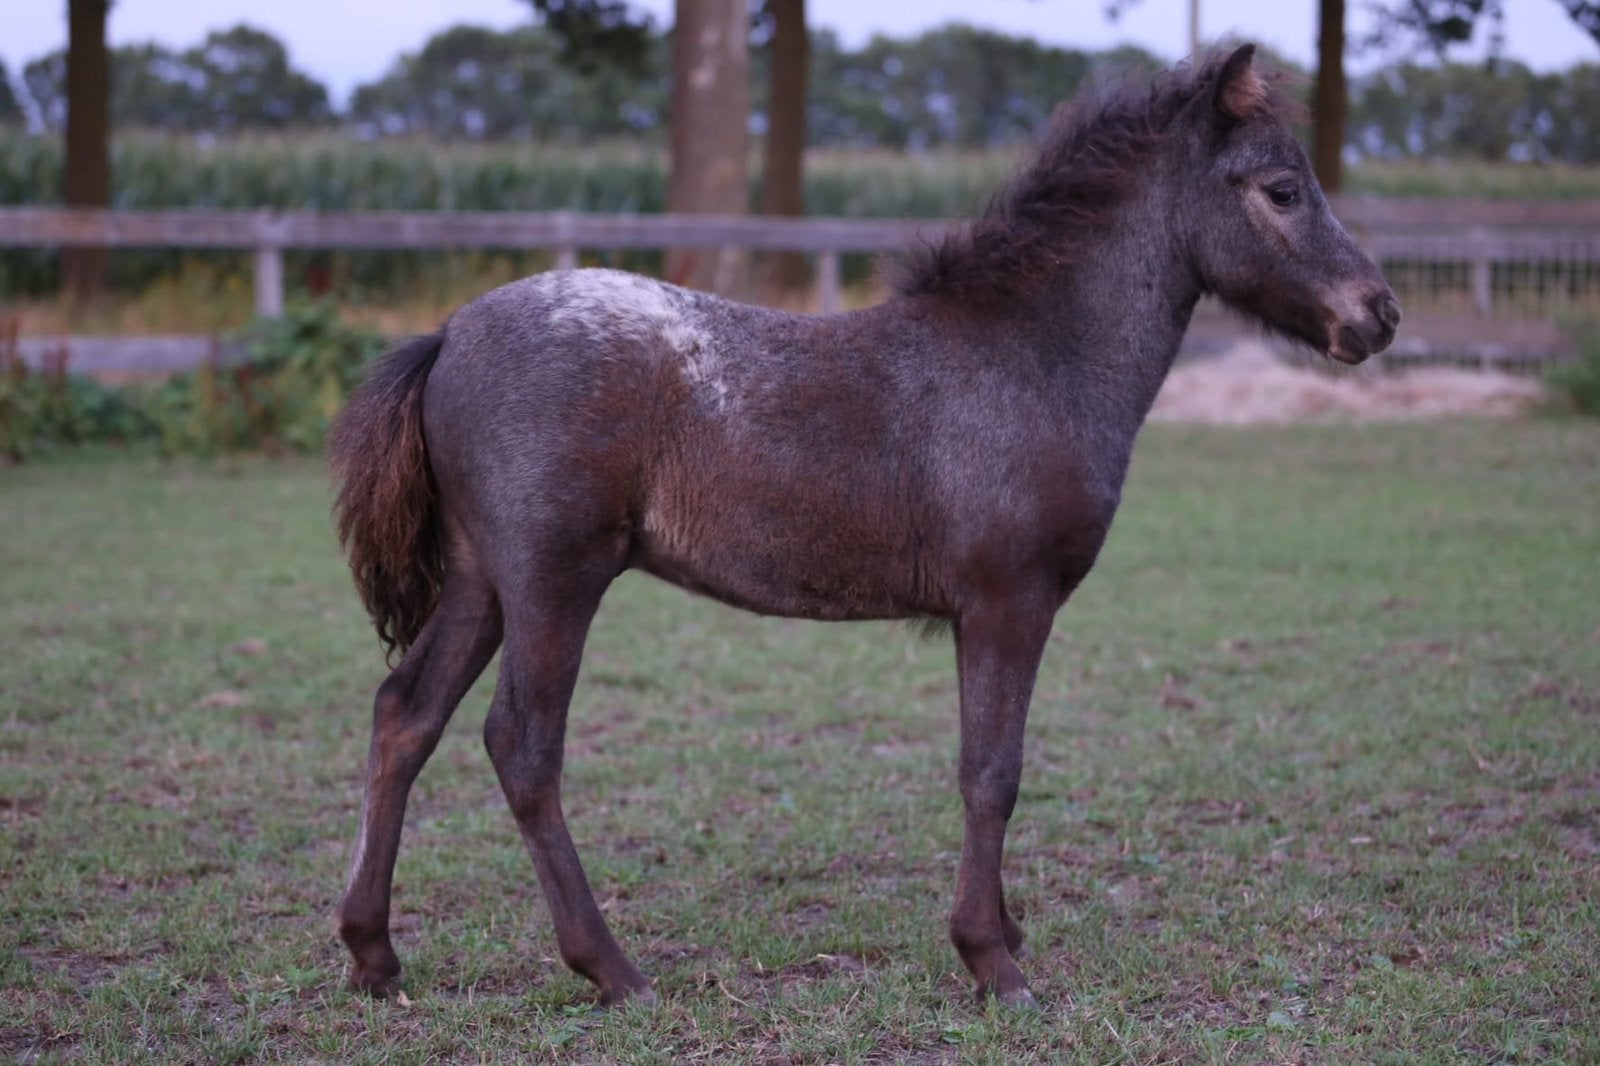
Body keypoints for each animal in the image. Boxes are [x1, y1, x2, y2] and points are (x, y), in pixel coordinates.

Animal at [329, 44, 1400, 1009]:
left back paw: (375, 956)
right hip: (554, 580)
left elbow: (988, 766)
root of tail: (450, 334)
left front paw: (1005, 932)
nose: (1379, 314)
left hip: (484, 581)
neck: (1029, 358)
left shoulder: (990, 611)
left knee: (404, 714)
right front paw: (993, 963)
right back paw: (612, 971)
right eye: (1281, 189)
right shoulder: (1009, 602)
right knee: (521, 746)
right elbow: (992, 771)